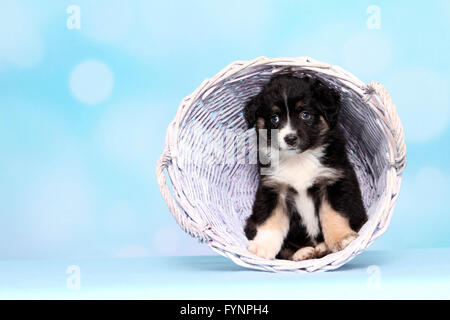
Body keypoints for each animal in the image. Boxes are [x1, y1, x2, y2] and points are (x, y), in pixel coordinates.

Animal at [244, 75, 368, 262]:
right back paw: (302, 253)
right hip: (251, 222)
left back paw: (322, 248)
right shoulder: (273, 188)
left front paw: (342, 238)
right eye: (274, 118)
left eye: (305, 115)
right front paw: (262, 247)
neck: (299, 159)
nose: (290, 139)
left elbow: (334, 213)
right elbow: (270, 219)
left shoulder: (333, 181)